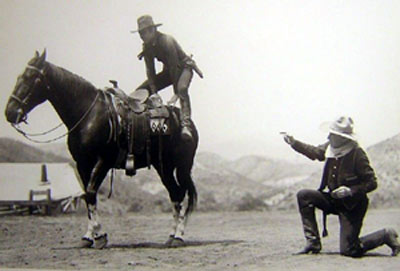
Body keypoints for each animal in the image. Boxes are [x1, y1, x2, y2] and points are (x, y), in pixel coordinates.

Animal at [4, 51, 198, 249]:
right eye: (19, 76)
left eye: (31, 77)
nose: (9, 112)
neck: (89, 115)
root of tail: (186, 122)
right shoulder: (82, 163)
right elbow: (87, 195)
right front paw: (89, 236)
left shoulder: (103, 161)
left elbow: (90, 193)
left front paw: (99, 236)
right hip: (164, 166)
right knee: (175, 193)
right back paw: (172, 236)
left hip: (181, 167)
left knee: (180, 193)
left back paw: (178, 236)